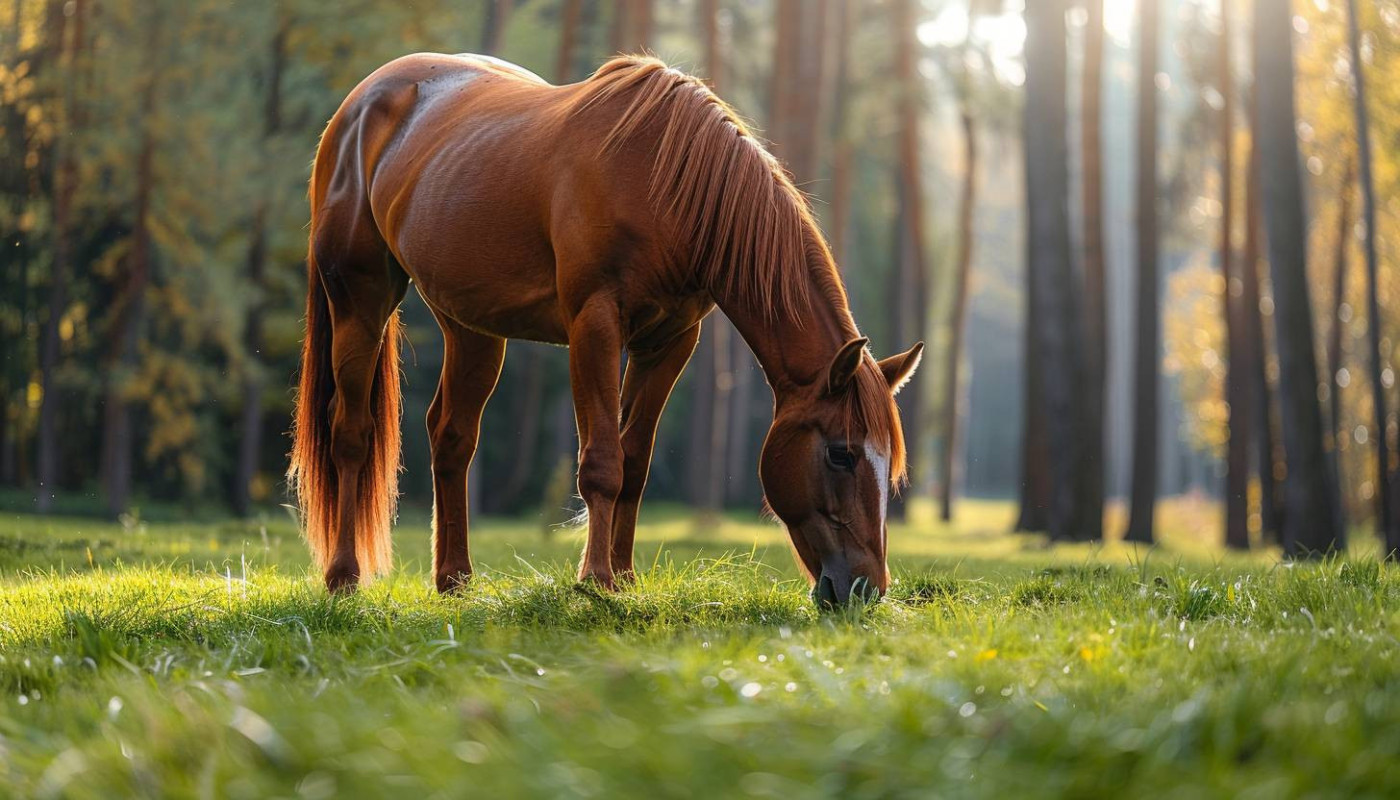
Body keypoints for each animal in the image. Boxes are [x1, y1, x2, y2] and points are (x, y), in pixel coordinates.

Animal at [287, 53, 923, 606]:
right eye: (841, 454)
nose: (867, 589)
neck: (666, 184)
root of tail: (361, 105)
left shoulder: (669, 343)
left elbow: (635, 463)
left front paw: (624, 578)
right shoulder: (595, 325)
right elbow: (601, 462)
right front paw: (594, 581)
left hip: (472, 327)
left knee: (451, 436)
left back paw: (455, 581)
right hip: (361, 300)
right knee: (351, 432)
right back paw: (343, 577)